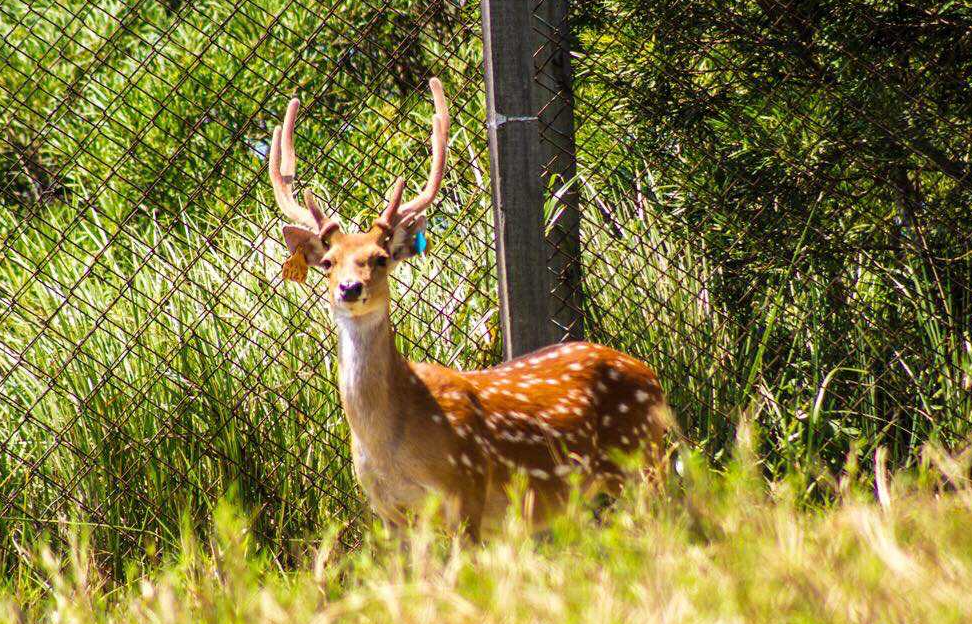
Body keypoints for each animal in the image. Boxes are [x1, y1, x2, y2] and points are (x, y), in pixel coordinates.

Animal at [270, 77, 672, 536]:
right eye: (328, 262)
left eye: (380, 258)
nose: (350, 289)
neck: (390, 445)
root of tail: (652, 376)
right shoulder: (387, 511)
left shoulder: (467, 486)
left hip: (643, 458)